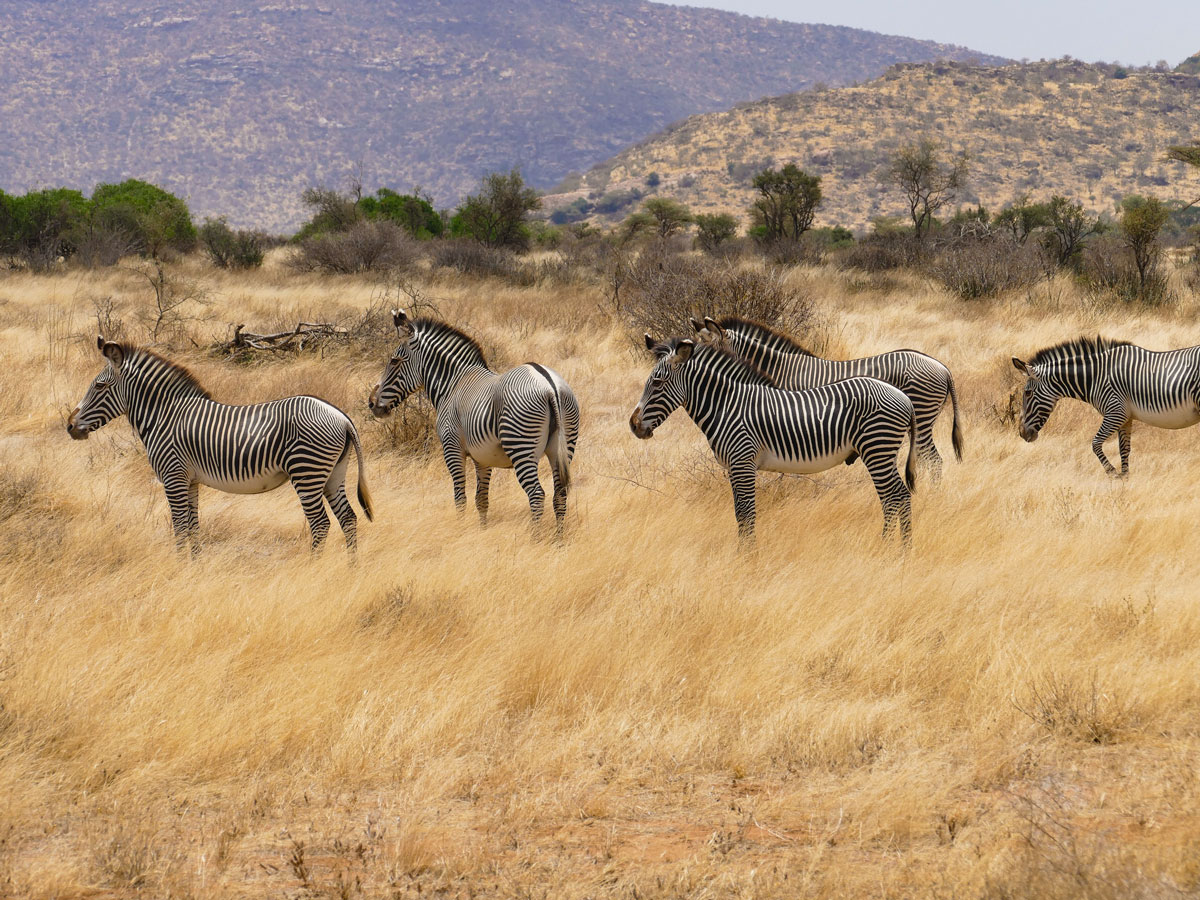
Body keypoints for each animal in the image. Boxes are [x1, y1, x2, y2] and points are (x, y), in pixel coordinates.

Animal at [66, 336, 374, 554]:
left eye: (100, 387)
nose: (69, 426)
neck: (165, 416)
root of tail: (341, 417)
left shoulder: (173, 476)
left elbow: (180, 528)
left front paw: (179, 571)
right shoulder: (190, 480)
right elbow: (193, 527)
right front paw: (195, 569)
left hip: (306, 470)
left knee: (321, 525)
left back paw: (311, 569)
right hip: (333, 472)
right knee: (348, 519)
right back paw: (351, 571)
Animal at [364, 312, 580, 535]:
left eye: (394, 361)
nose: (371, 403)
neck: (452, 384)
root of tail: (549, 384)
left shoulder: (452, 449)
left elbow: (460, 497)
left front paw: (460, 531)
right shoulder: (482, 457)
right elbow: (481, 499)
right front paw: (482, 532)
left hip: (521, 445)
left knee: (536, 495)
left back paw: (535, 538)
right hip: (563, 446)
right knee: (560, 494)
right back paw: (558, 538)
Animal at [628, 338, 916, 542]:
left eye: (658, 383)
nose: (633, 426)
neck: (726, 405)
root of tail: (904, 398)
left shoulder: (742, 462)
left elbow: (746, 514)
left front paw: (748, 560)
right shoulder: (735, 467)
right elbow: (740, 513)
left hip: (877, 448)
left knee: (896, 497)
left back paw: (895, 550)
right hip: (880, 451)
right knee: (894, 498)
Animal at [1017, 338, 1200, 480]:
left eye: (1027, 393)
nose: (1022, 433)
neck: (1095, 378)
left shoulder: (1115, 412)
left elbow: (1095, 443)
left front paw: (1112, 472)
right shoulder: (1126, 418)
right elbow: (1124, 449)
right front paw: (1125, 480)